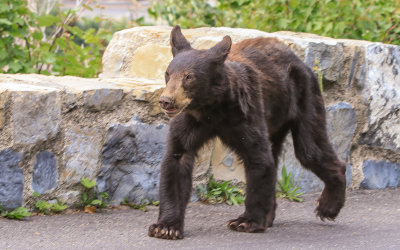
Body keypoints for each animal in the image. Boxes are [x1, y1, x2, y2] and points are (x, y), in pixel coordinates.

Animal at [148, 25, 346, 240]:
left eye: (189, 76)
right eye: (168, 73)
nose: (166, 101)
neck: (210, 109)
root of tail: (299, 60)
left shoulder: (245, 114)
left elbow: (257, 158)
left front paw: (246, 221)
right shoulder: (188, 121)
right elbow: (177, 159)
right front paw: (166, 226)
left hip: (304, 95)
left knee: (310, 148)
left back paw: (328, 206)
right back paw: (271, 216)